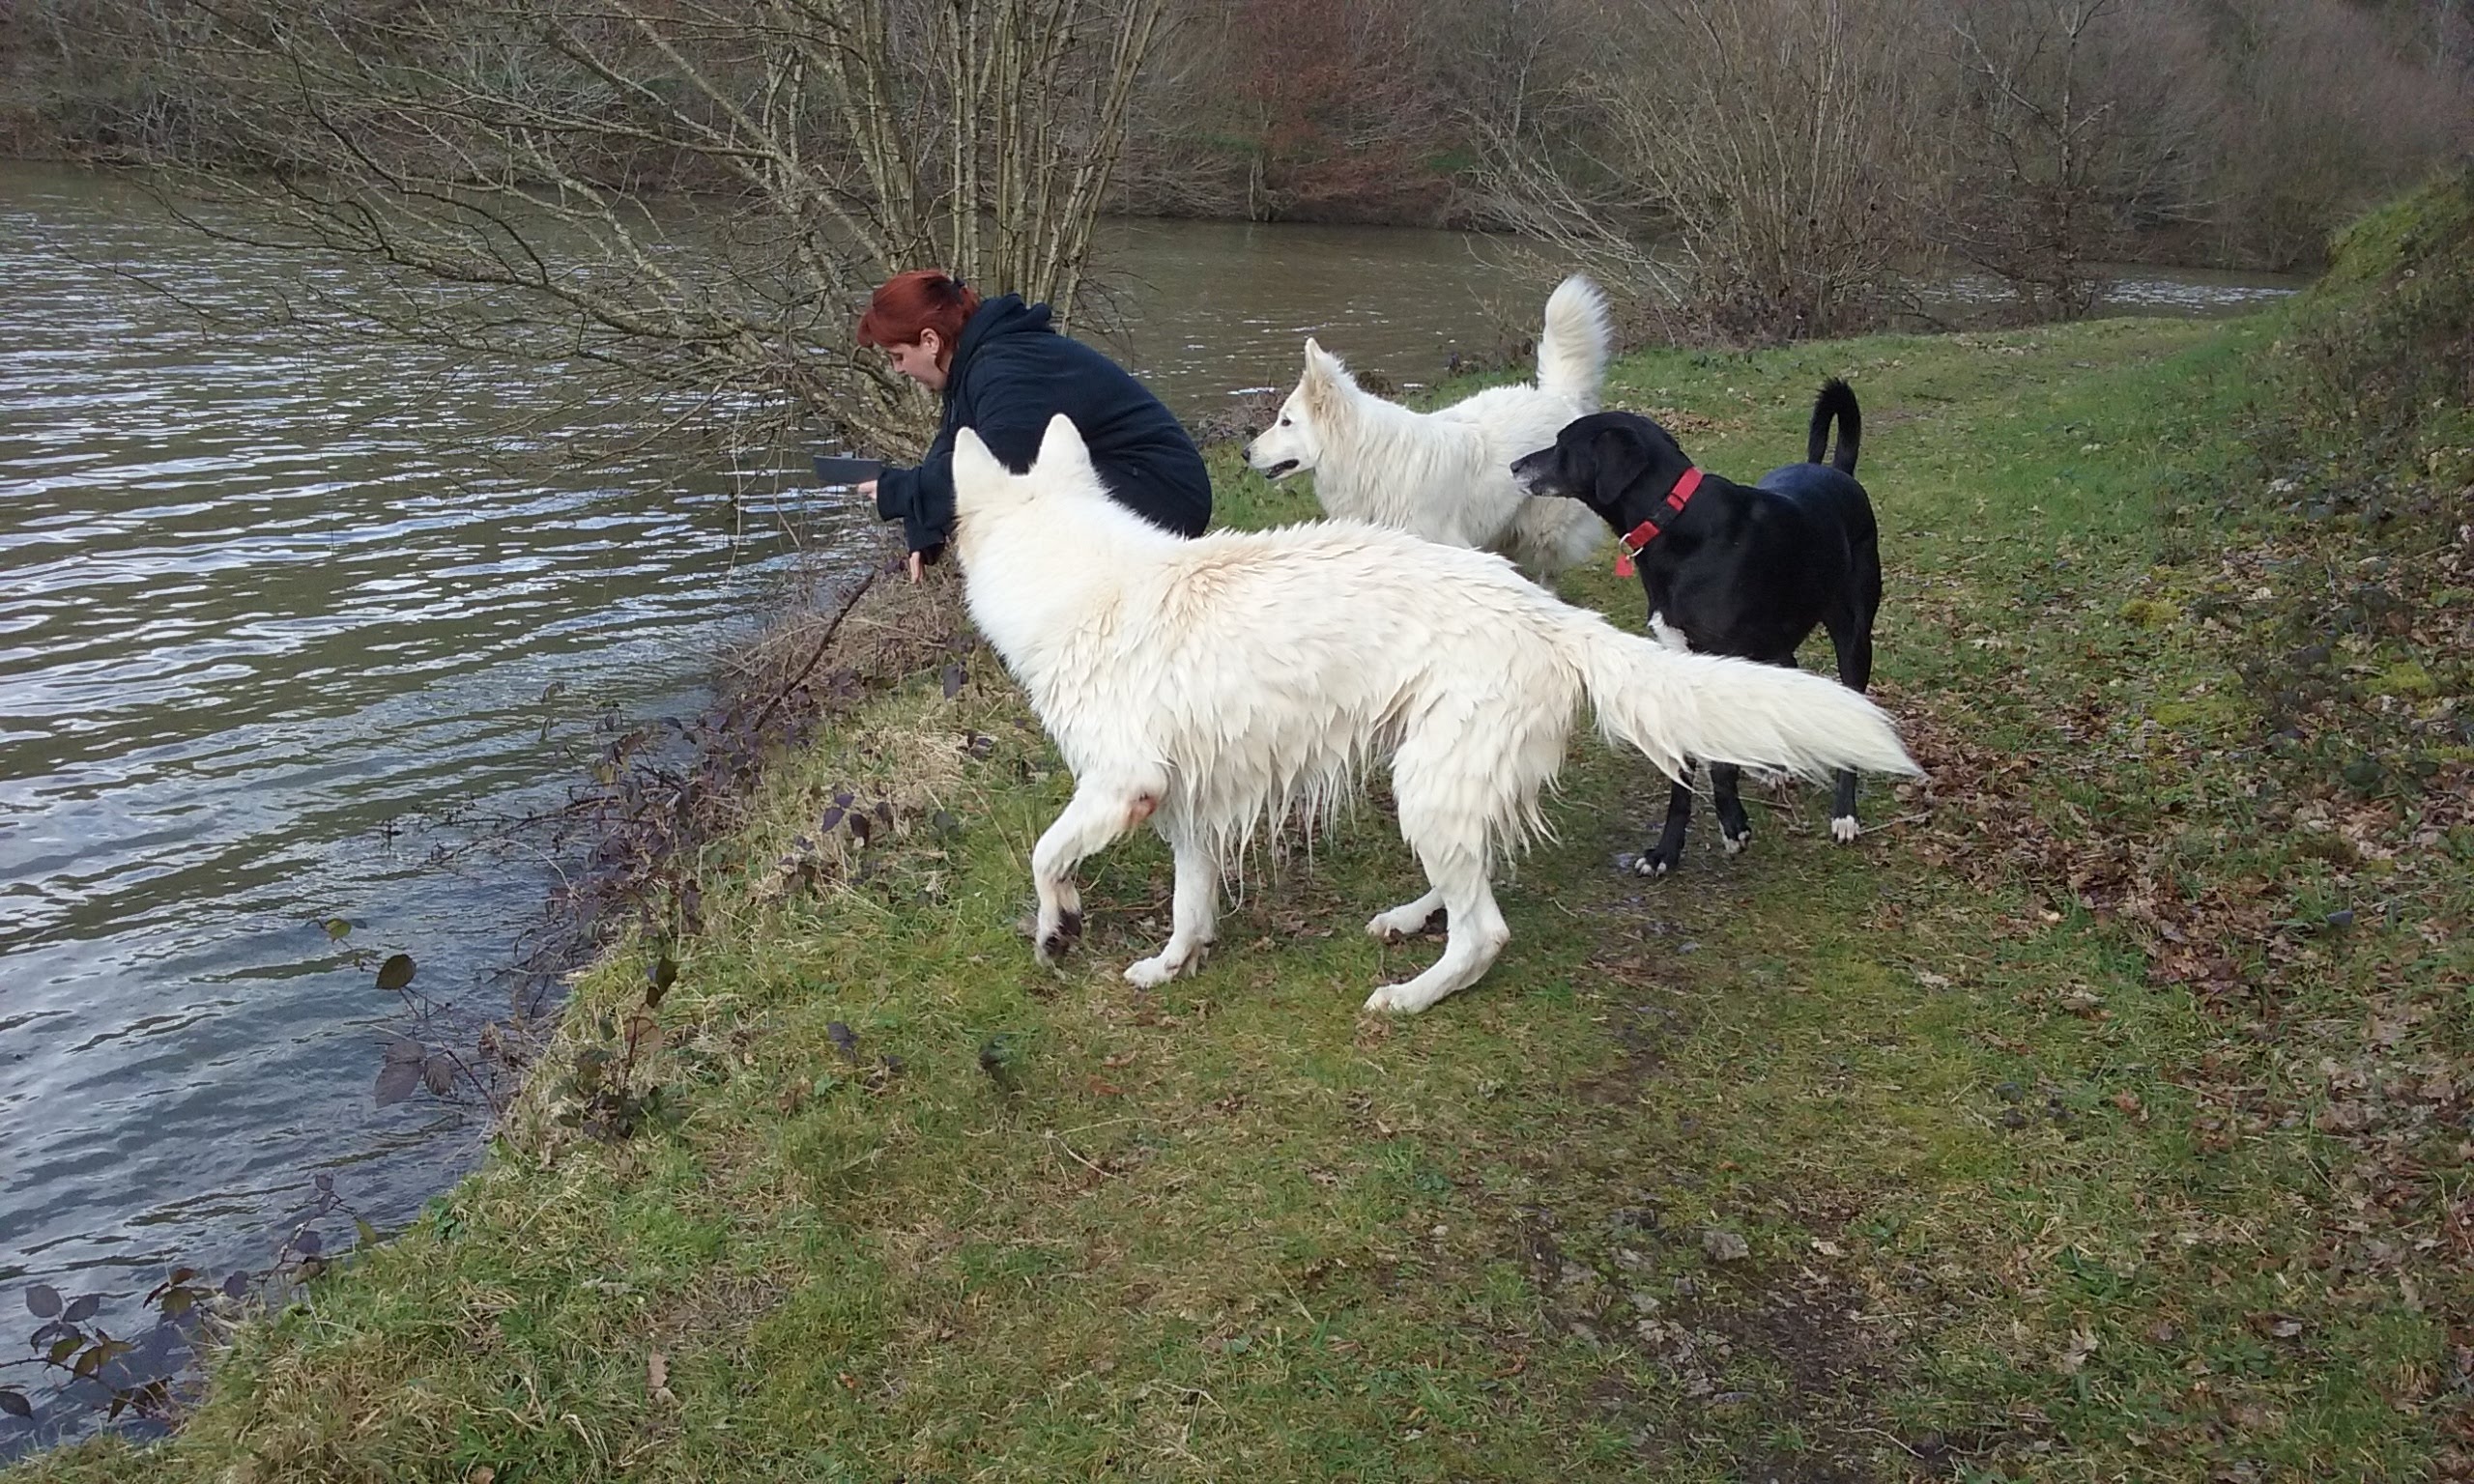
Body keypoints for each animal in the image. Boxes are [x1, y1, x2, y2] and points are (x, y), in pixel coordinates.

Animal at [1513, 376, 1880, 875]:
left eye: (1562, 445)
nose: (1514, 465)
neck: (1675, 521)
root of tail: (1839, 472)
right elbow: (1682, 773)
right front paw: (1666, 852)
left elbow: (1719, 764)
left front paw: (1733, 825)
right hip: (1775, 636)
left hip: (1853, 633)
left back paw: (1844, 813)